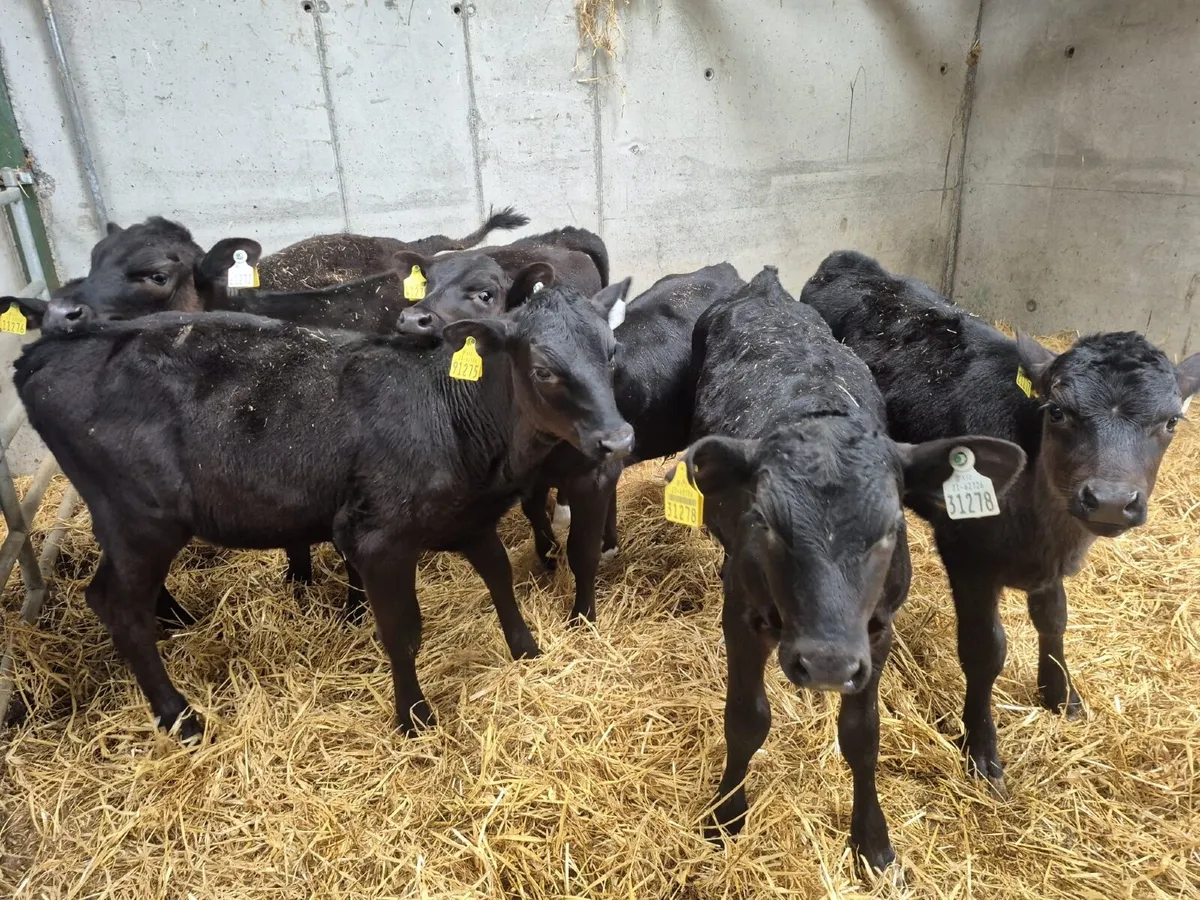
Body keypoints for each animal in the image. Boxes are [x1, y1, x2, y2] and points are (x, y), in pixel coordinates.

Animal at [14, 280, 634, 743]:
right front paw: (414, 718)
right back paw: (180, 717)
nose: (619, 439)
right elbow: (403, 631)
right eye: (544, 370)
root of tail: (44, 349)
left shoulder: (468, 517)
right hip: (141, 520)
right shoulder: (377, 538)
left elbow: (501, 581)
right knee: (117, 606)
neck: (451, 411)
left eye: (612, 353)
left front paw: (527, 652)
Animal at [684, 267, 1025, 871]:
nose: (826, 663)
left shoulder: (876, 629)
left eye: (892, 526)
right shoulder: (742, 615)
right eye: (764, 521)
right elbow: (745, 720)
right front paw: (725, 815)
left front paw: (872, 841)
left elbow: (863, 735)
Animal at [801, 250, 1200, 793]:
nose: (1111, 501)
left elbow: (1054, 618)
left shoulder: (1048, 561)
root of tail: (848, 261)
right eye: (1058, 412)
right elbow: (985, 650)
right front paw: (982, 750)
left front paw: (1060, 695)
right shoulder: (967, 554)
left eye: (1171, 421)